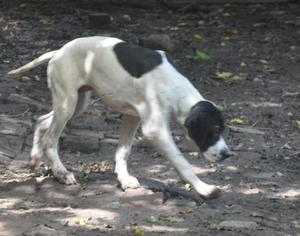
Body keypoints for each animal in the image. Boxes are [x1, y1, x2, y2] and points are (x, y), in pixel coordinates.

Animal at [7, 36, 232, 199]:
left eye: (222, 130)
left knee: (42, 120)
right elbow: (181, 161)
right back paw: (61, 173)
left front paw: (124, 180)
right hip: (67, 104)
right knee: (50, 139)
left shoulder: (132, 116)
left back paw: (35, 159)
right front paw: (204, 188)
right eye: (213, 131)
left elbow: (123, 151)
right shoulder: (154, 130)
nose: (227, 154)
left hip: (77, 103)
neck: (176, 88)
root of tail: (58, 52)